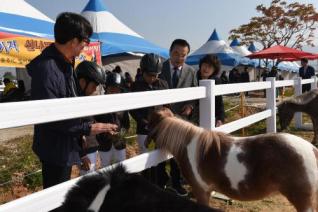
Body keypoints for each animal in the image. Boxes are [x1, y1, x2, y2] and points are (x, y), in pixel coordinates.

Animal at [147, 108, 318, 211]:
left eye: (149, 122)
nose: (145, 141)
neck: (191, 147)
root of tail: (312, 149)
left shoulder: (200, 190)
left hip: (303, 201)